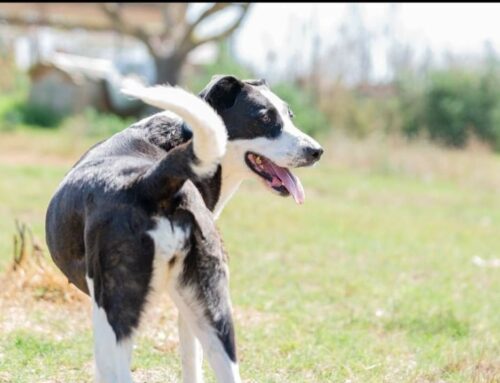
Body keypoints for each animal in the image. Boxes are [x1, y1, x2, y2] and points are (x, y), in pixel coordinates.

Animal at [45, 73, 322, 382]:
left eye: (290, 116)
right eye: (264, 118)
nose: (316, 151)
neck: (180, 136)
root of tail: (147, 181)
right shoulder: (189, 305)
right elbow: (191, 360)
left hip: (112, 314)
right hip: (214, 311)